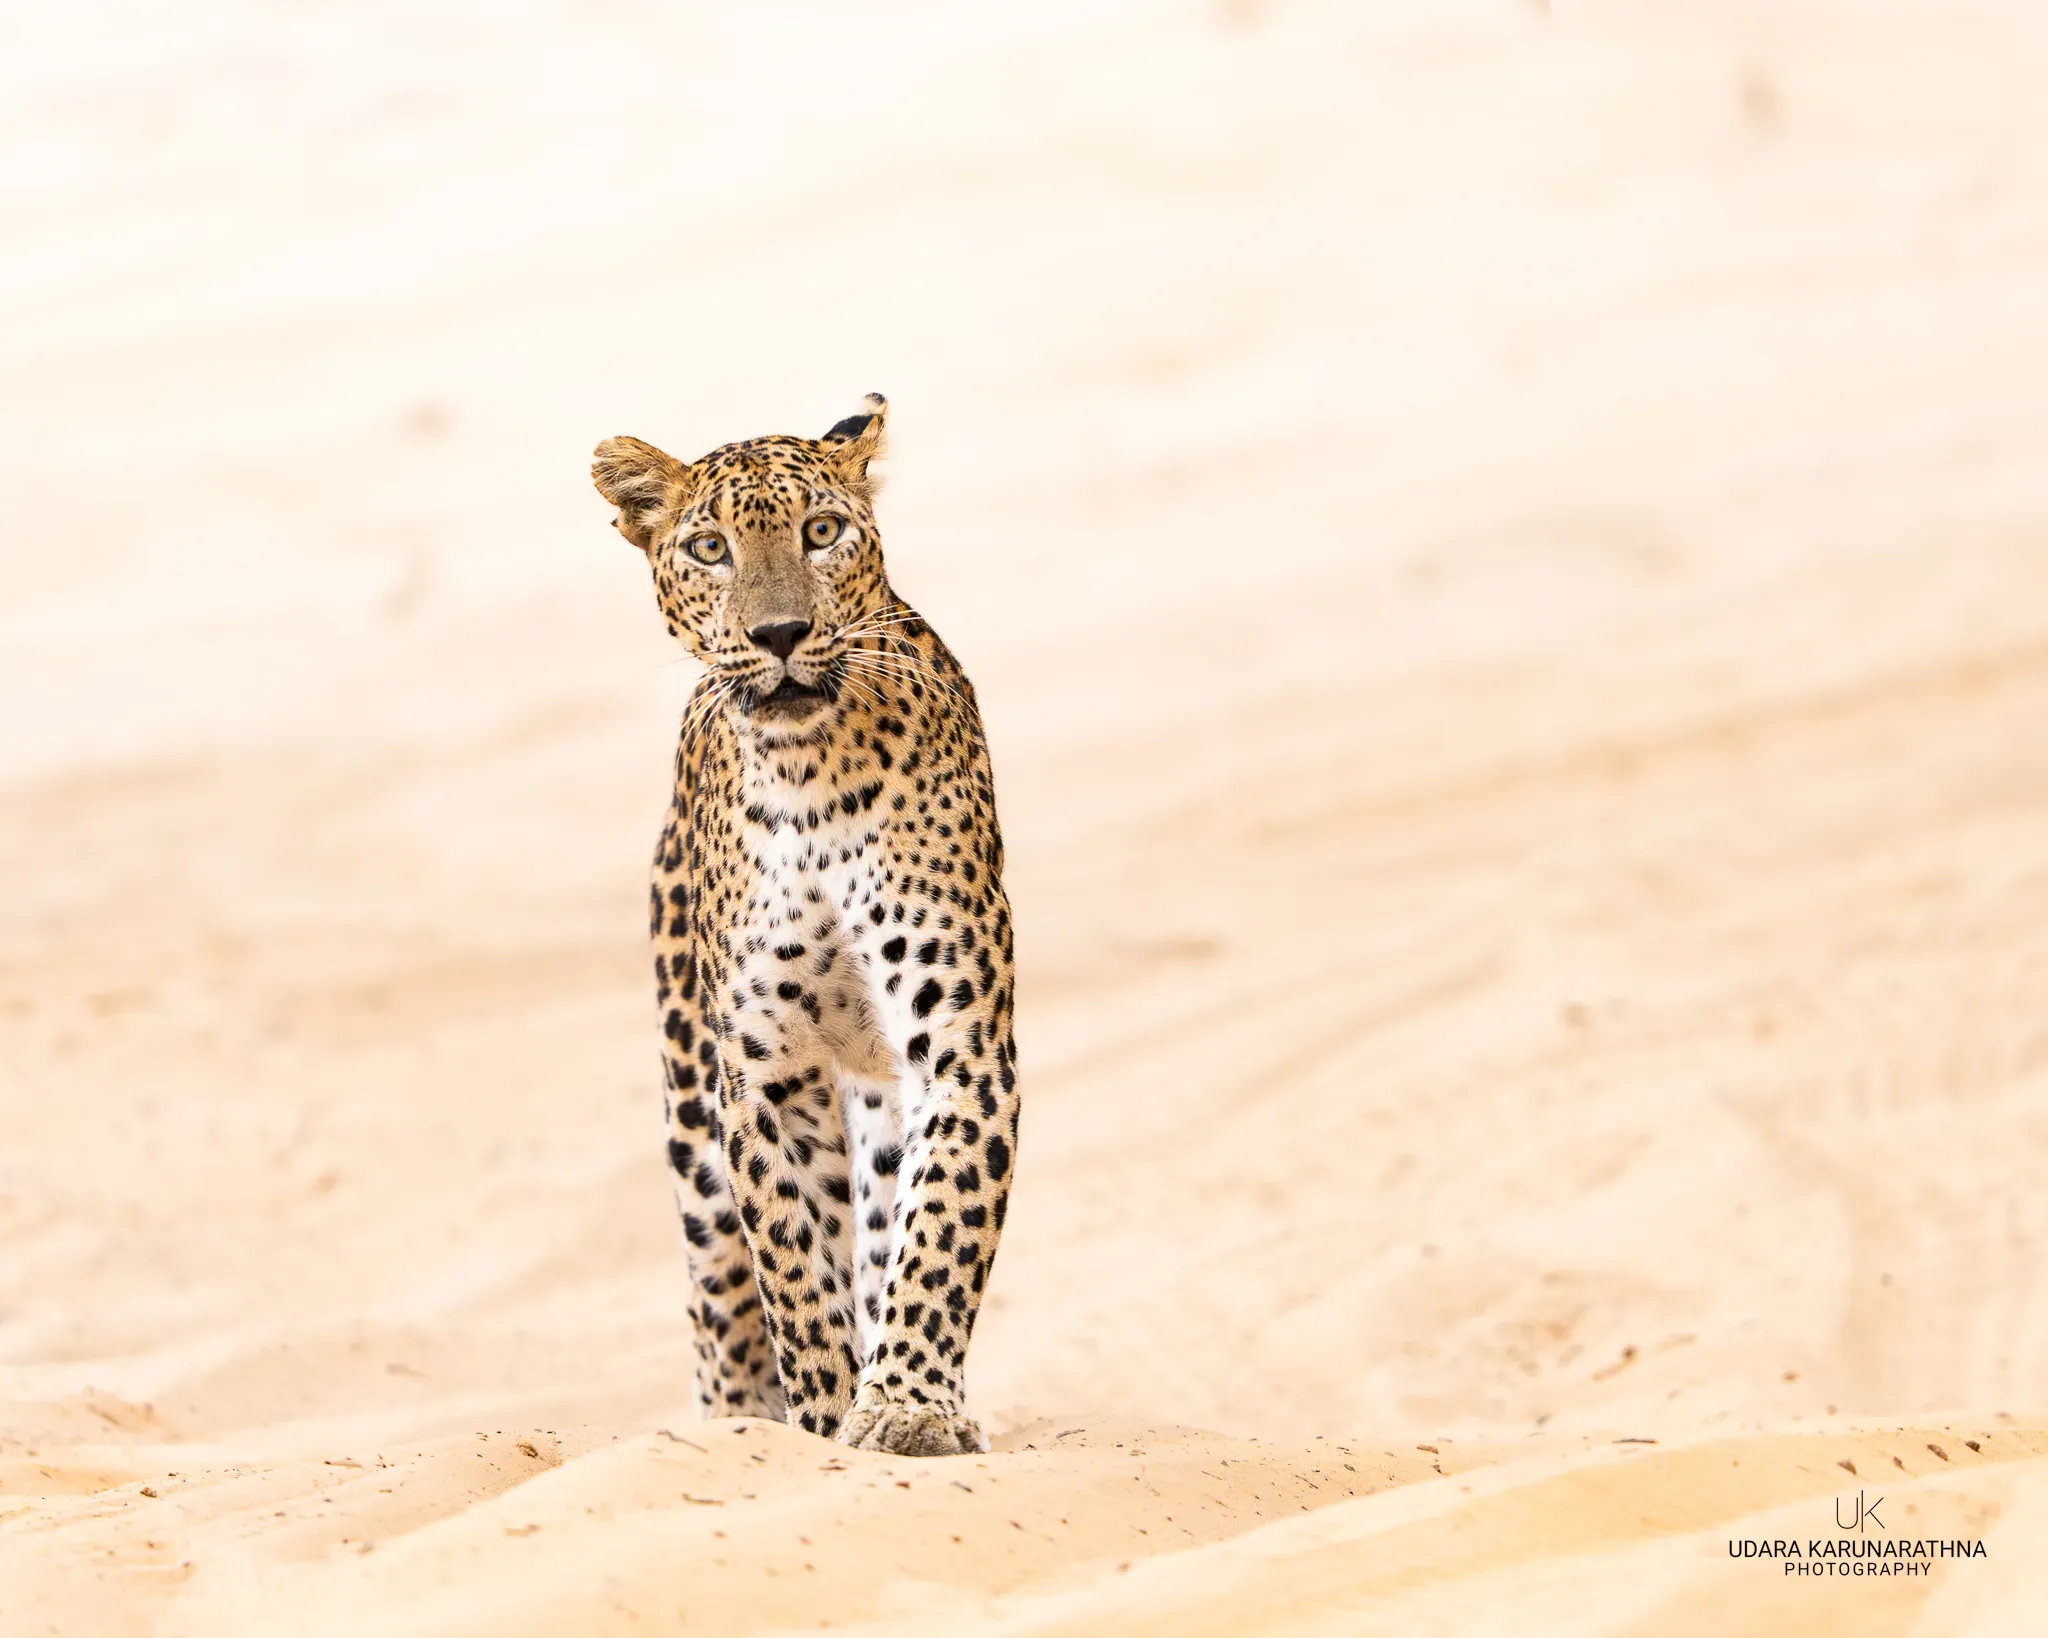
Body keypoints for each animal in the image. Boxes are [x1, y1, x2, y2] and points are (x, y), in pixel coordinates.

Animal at [591, 395, 1019, 1457]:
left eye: (821, 532)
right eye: (709, 549)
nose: (779, 631)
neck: (810, 776)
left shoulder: (960, 1043)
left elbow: (938, 1232)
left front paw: (908, 1410)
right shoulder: (764, 1074)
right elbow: (791, 1272)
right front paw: (825, 1427)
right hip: (691, 1125)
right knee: (722, 1310)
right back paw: (738, 1425)